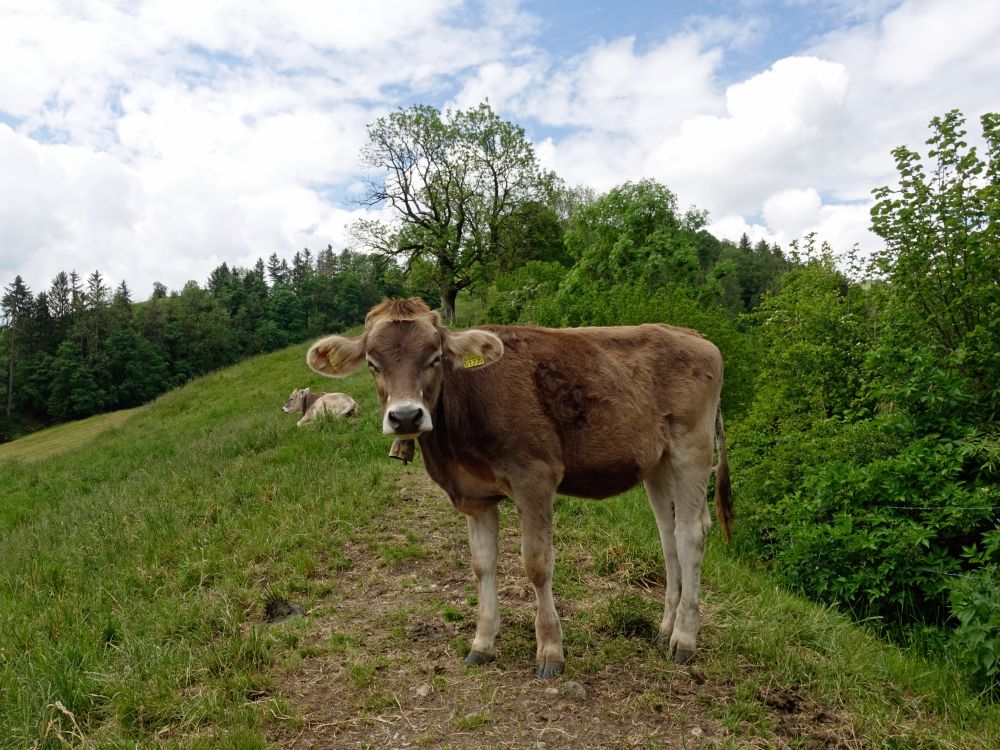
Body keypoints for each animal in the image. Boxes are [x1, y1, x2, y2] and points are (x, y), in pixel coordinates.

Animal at [308, 300, 732, 680]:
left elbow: (537, 564)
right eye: (373, 364)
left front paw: (550, 650)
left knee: (691, 534)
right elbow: (482, 564)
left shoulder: (535, 478)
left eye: (435, 357)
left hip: (691, 448)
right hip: (657, 463)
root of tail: (693, 335)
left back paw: (684, 639)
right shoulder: (475, 497)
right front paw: (482, 643)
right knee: (668, 535)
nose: (406, 416)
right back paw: (664, 628)